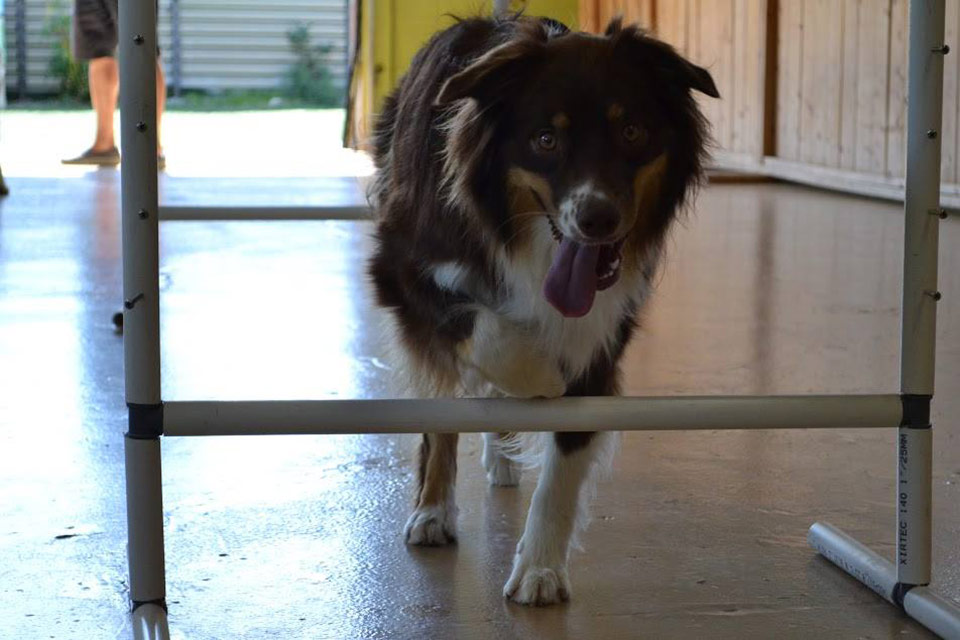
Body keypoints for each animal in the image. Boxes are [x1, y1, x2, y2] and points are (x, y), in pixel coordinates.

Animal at [368, 13, 720, 604]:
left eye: (633, 132)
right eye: (545, 139)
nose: (597, 219)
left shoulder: (610, 324)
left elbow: (566, 453)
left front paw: (540, 568)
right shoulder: (401, 272)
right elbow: (498, 345)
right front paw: (541, 378)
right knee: (443, 409)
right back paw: (433, 513)